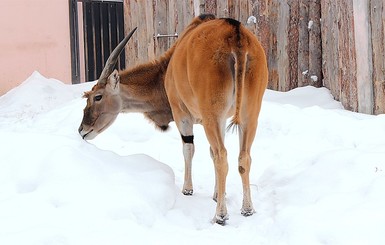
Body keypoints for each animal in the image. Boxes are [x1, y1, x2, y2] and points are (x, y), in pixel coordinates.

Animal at [78, 14, 268, 225]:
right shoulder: (220, 120)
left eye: (97, 97)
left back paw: (220, 215)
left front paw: (188, 189)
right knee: (243, 157)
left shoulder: (182, 115)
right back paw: (247, 209)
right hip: (249, 116)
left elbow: (189, 148)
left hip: (213, 116)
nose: (82, 130)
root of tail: (236, 36)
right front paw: (217, 194)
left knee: (222, 157)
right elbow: (211, 152)